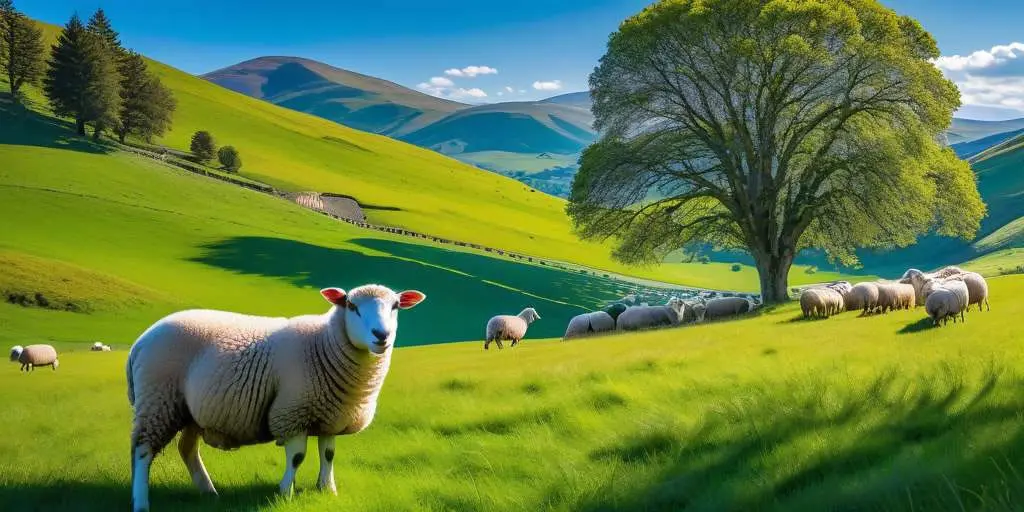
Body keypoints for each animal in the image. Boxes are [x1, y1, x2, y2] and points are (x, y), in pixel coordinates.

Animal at [126, 284, 426, 512]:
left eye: (396, 306)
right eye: (352, 306)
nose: (381, 336)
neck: (323, 343)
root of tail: (141, 340)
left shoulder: (330, 415)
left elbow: (328, 454)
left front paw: (327, 490)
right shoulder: (293, 412)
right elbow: (297, 457)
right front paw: (284, 493)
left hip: (190, 411)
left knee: (186, 448)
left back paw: (209, 493)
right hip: (158, 398)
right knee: (142, 450)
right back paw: (141, 502)